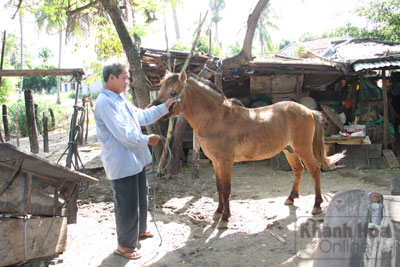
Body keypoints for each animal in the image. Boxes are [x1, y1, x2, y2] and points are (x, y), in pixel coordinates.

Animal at [155, 71, 346, 230]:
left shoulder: (226, 162)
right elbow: (219, 187)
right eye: (160, 89)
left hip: (303, 149)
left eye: (173, 92)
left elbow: (226, 189)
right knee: (299, 170)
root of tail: (309, 111)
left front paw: (225, 219)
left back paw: (317, 206)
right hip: (289, 150)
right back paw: (291, 198)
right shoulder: (216, 163)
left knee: (314, 171)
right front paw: (217, 212)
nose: (154, 107)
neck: (216, 118)